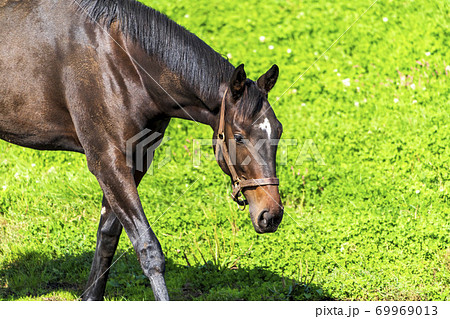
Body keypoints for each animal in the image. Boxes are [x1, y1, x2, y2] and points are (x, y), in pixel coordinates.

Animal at [0, 0, 284, 302]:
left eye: (278, 131)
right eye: (239, 137)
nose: (271, 215)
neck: (120, 62)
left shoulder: (136, 160)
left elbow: (108, 235)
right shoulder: (107, 162)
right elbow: (148, 248)